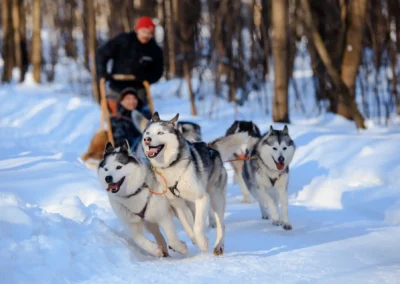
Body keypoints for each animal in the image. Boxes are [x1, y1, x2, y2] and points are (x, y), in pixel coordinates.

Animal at [141, 112, 247, 255]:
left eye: (160, 133)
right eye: (147, 133)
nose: (147, 139)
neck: (171, 165)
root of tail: (210, 148)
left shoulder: (202, 198)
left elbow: (197, 226)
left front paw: (203, 243)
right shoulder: (177, 205)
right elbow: (188, 226)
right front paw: (195, 241)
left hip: (215, 198)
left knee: (221, 224)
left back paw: (219, 245)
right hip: (191, 205)